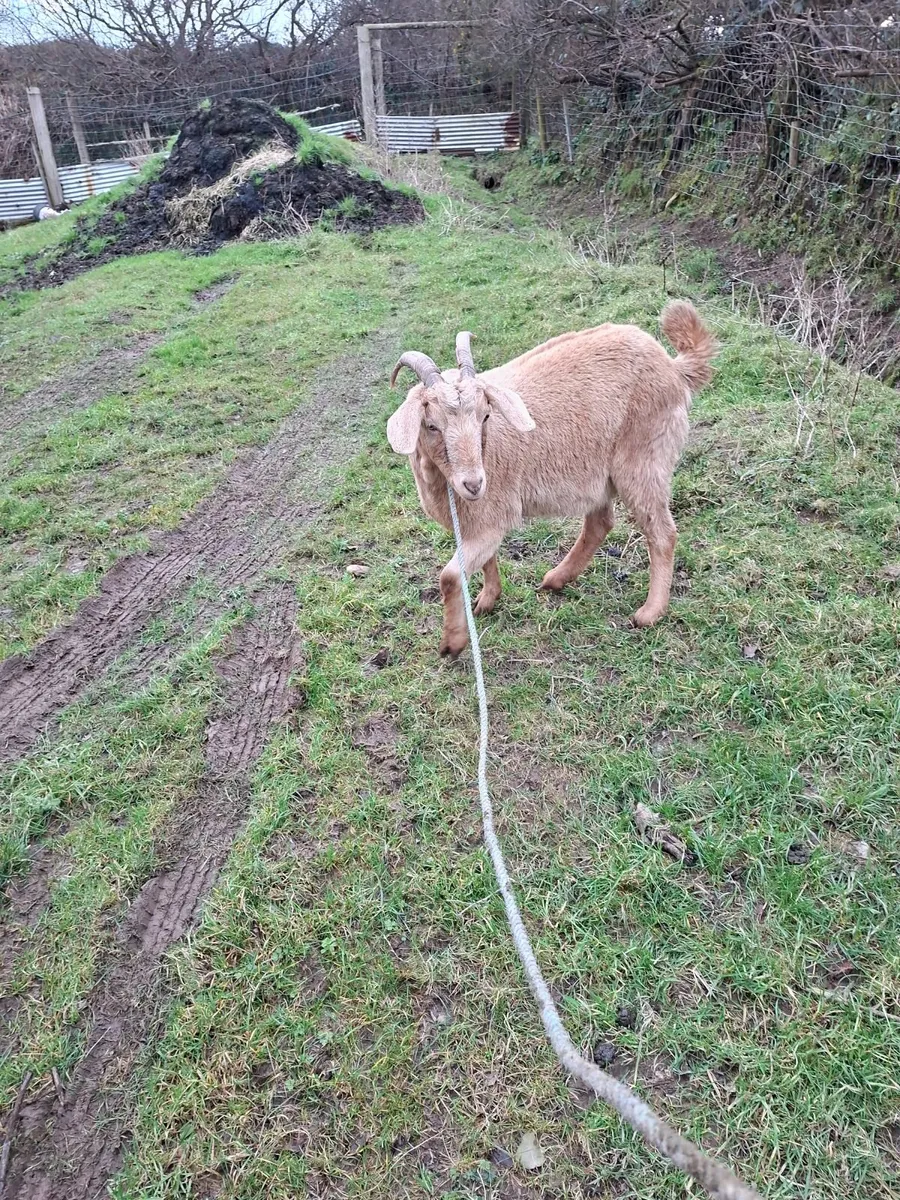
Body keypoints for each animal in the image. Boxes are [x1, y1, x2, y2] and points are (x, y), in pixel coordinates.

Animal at [387, 301, 718, 657]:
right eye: (431, 425)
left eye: (486, 416)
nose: (474, 484)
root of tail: (673, 367)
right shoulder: (479, 522)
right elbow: (484, 561)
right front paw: (488, 600)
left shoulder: (492, 517)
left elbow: (449, 577)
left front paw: (452, 643)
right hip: (600, 473)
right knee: (600, 523)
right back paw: (557, 579)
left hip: (644, 459)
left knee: (661, 533)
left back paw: (650, 612)